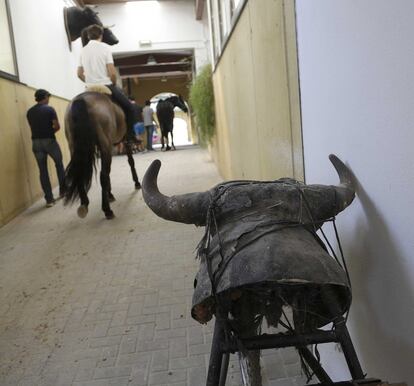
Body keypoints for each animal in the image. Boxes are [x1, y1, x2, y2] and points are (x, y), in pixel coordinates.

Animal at [63, 88, 141, 219]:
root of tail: (81, 99)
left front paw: (110, 194)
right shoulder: (123, 141)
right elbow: (131, 161)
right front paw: (137, 183)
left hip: (74, 146)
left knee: (80, 172)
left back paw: (84, 204)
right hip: (106, 145)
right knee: (103, 175)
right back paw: (107, 210)